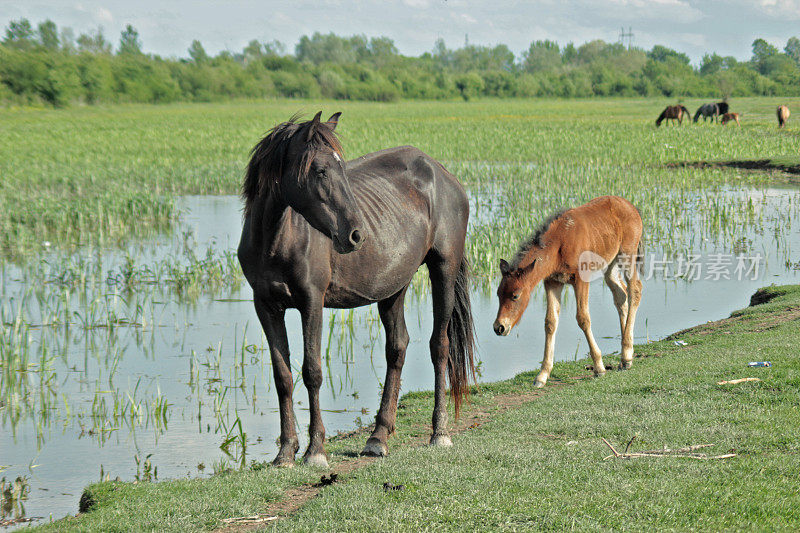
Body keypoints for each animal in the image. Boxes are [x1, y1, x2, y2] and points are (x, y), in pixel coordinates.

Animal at [238, 111, 476, 466]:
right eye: (320, 170)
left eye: (341, 168)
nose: (355, 234)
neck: (276, 239)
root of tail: (443, 173)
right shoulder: (265, 306)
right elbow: (283, 376)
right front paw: (285, 452)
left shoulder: (311, 302)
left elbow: (312, 371)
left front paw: (315, 451)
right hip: (394, 286)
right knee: (397, 348)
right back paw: (378, 438)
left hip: (443, 269)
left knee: (440, 346)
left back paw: (439, 432)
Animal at [494, 195, 644, 386]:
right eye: (498, 294)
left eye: (515, 295)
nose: (499, 327)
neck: (559, 243)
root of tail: (632, 207)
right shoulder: (552, 282)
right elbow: (550, 323)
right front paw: (542, 375)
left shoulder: (581, 279)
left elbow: (583, 318)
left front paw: (599, 367)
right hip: (610, 264)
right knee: (621, 295)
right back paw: (626, 357)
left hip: (627, 255)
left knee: (635, 290)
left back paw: (626, 356)